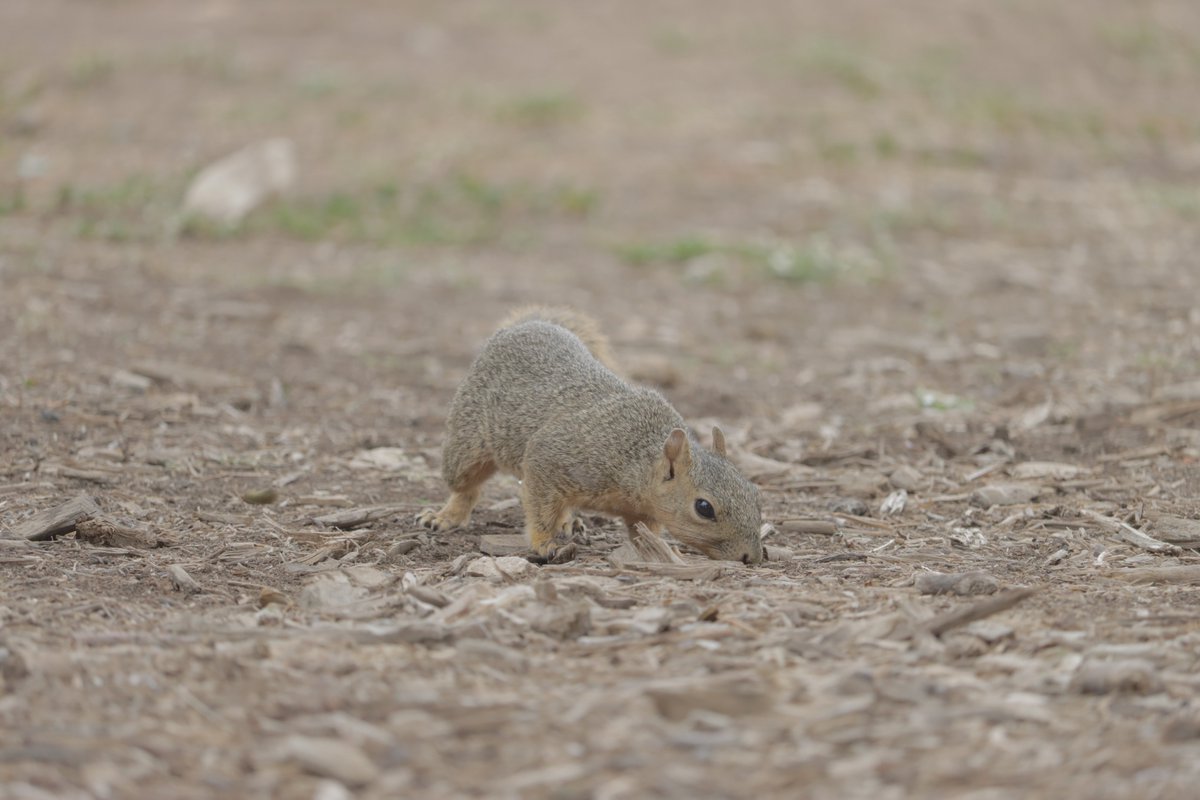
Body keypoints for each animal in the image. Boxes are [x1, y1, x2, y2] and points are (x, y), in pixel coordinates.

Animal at [417, 307, 765, 564]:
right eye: (704, 508)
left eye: (754, 494)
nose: (752, 557)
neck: (636, 455)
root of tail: (530, 324)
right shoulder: (552, 456)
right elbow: (539, 512)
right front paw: (545, 544)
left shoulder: (640, 509)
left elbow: (643, 531)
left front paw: (658, 549)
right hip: (466, 441)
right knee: (466, 486)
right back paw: (445, 516)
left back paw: (569, 520)